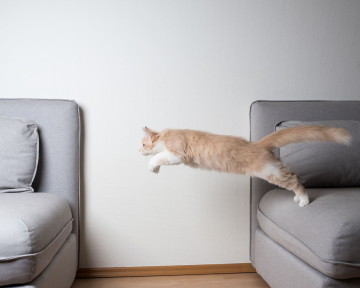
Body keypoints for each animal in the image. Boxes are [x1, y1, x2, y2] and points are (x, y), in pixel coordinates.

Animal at [139, 126, 350, 207]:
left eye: (142, 144)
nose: (138, 150)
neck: (167, 134)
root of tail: (258, 144)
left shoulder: (176, 153)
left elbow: (157, 157)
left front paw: (152, 167)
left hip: (270, 172)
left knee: (294, 179)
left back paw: (304, 200)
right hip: (274, 169)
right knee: (292, 175)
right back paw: (299, 198)